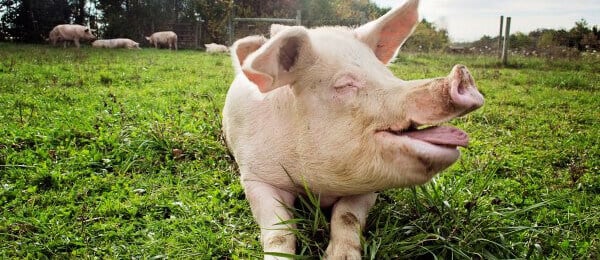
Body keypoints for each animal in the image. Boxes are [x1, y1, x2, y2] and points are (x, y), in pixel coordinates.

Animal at [223, 0, 486, 258]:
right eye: (344, 84)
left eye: (387, 74)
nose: (462, 75)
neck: (319, 188)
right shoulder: (255, 177)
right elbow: (279, 230)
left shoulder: (369, 186)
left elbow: (347, 216)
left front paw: (342, 256)